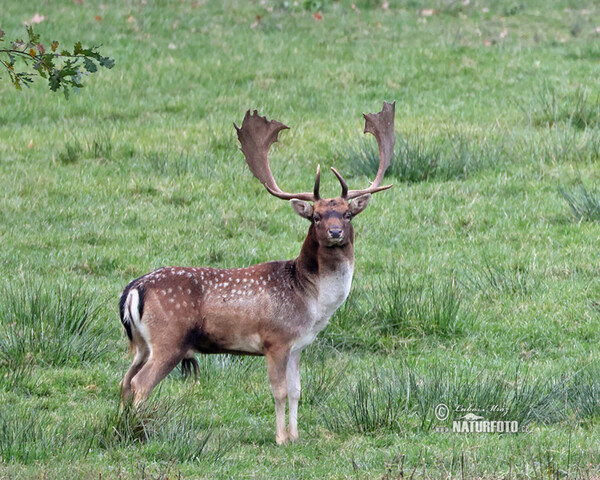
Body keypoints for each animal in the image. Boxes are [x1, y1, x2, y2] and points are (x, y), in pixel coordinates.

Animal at [119, 101, 396, 446]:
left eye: (347, 214)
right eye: (316, 217)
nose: (335, 232)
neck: (311, 301)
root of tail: (133, 289)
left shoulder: (297, 345)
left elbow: (297, 391)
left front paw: (296, 436)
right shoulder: (275, 339)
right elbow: (279, 391)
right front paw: (280, 439)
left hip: (142, 343)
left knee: (125, 380)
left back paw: (123, 427)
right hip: (169, 338)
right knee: (141, 383)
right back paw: (140, 432)